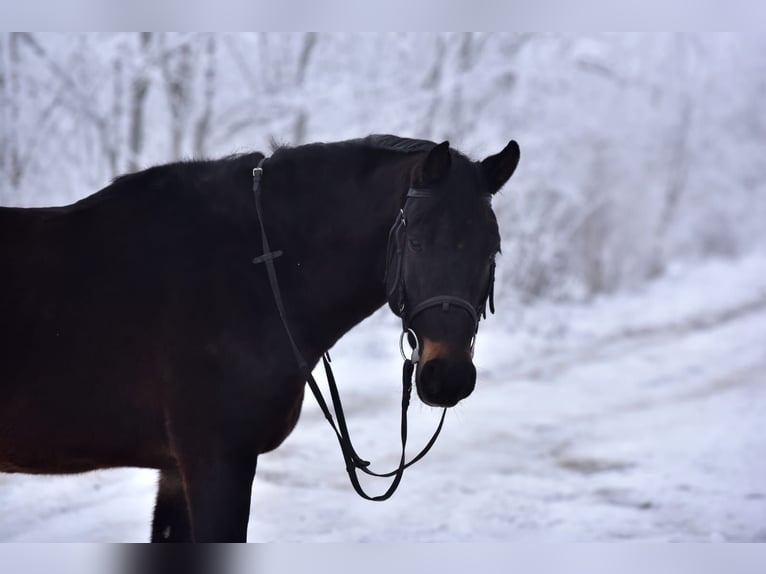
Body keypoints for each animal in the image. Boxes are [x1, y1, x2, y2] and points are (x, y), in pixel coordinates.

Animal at [0, 135, 520, 542]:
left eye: (492, 250)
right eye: (416, 243)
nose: (447, 377)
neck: (251, 271)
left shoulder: (177, 471)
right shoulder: (216, 461)